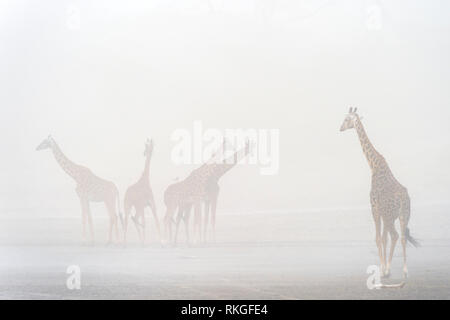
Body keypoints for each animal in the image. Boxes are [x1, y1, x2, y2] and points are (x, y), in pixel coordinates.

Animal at [342, 107, 418, 278]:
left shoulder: (375, 208)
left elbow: (378, 238)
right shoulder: (383, 213)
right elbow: (383, 238)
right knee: (402, 237)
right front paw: (384, 268)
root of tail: (403, 199)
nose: (340, 128)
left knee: (395, 235)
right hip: (404, 215)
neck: (374, 166)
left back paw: (390, 270)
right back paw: (405, 270)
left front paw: (383, 269)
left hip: (391, 216)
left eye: (346, 119)